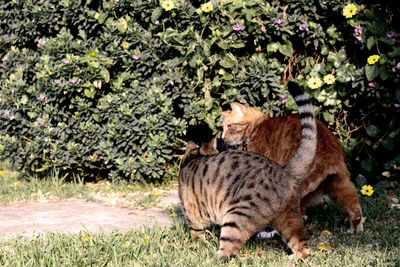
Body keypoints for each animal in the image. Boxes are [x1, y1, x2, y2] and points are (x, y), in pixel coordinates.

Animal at [180, 81, 318, 262]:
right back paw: (291, 259)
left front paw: (198, 249)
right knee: (303, 247)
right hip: (288, 218)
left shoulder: (192, 216)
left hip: (236, 215)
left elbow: (198, 237)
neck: (192, 158)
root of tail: (284, 171)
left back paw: (212, 259)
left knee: (228, 251)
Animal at [220, 88, 364, 234]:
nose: (222, 138)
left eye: (229, 126)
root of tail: (328, 152)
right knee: (355, 207)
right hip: (339, 186)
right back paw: (355, 230)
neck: (258, 125)